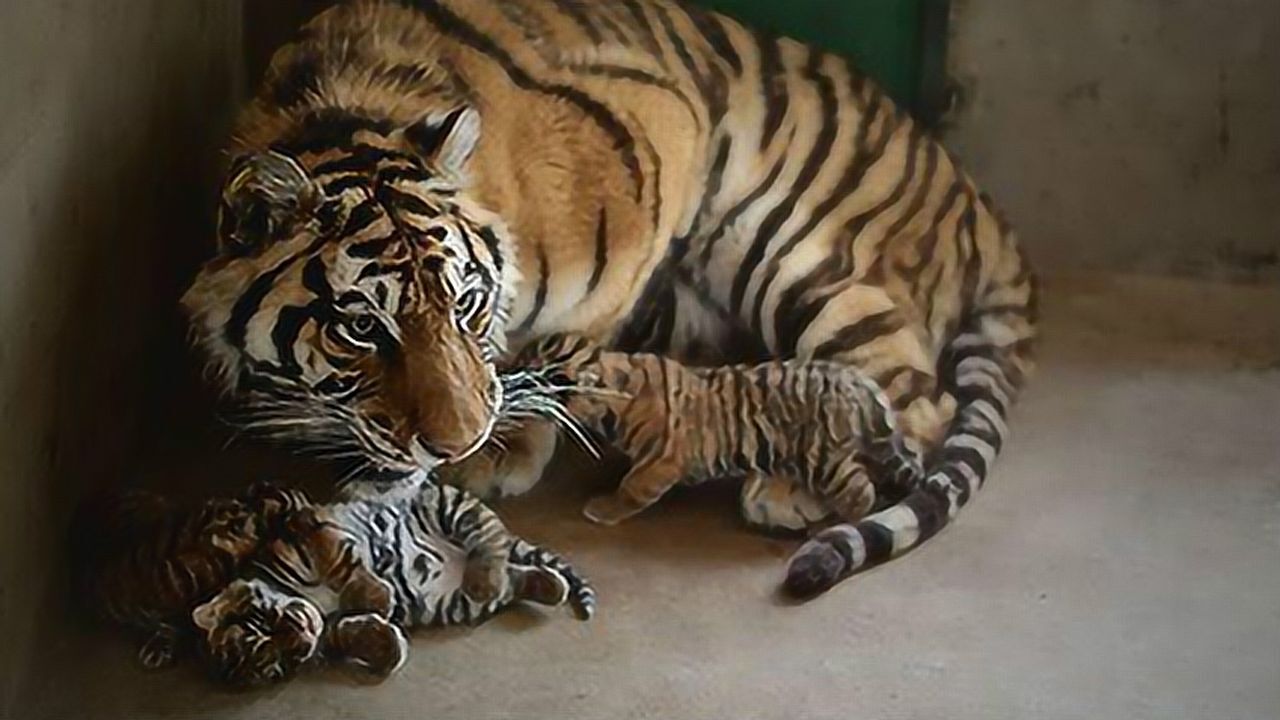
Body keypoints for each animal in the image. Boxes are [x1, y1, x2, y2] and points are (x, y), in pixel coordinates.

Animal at [193, 478, 596, 686]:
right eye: (275, 663)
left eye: (267, 623)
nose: (302, 639)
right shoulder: (331, 628)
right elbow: (352, 633)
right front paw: (387, 647)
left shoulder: (312, 529)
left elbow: (343, 566)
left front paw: (378, 598)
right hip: (455, 603)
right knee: (513, 577)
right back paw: (548, 585)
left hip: (448, 506)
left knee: (489, 533)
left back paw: (486, 579)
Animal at [511, 333, 924, 533]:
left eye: (533, 376)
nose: (505, 372)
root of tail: (860, 382)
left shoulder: (662, 460)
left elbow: (632, 487)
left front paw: (603, 508)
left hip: (824, 459)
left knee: (862, 493)